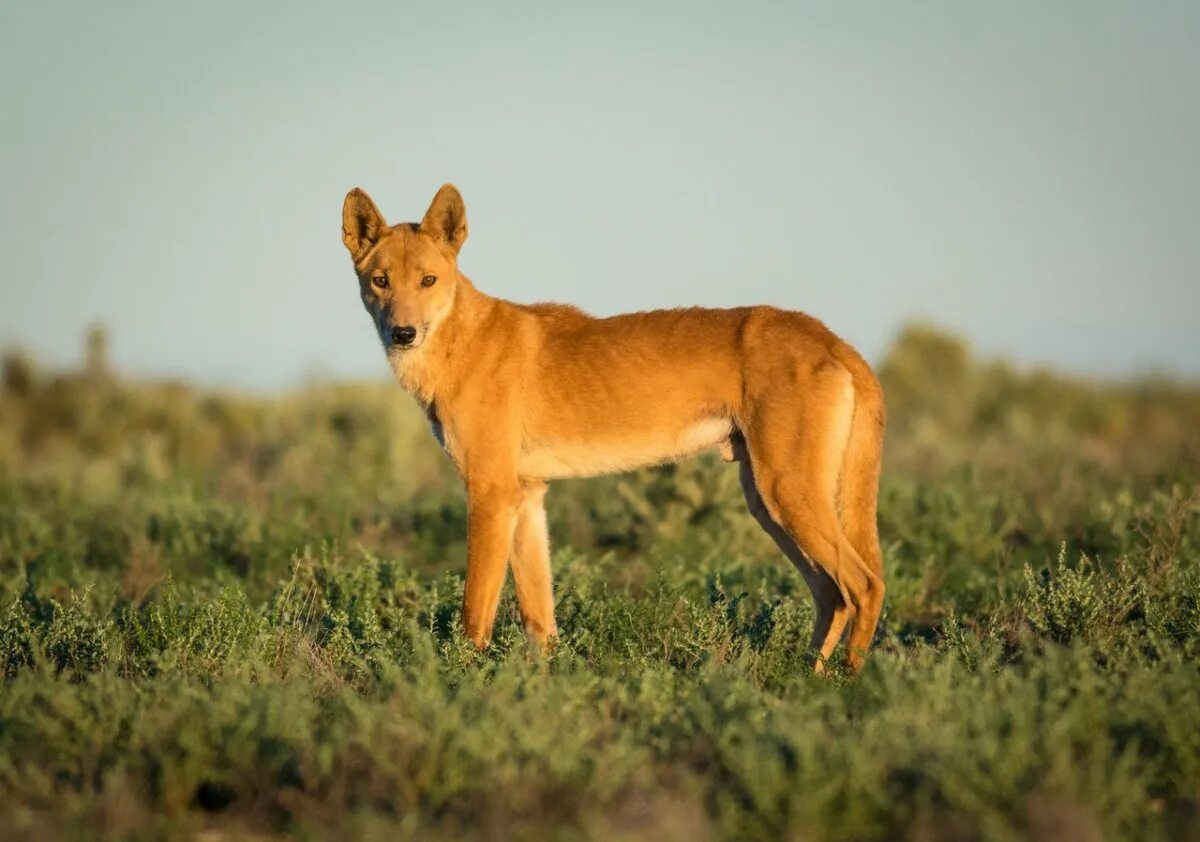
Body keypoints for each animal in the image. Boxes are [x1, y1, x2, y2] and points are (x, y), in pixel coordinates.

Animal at [343, 184, 888, 671]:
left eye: (428, 281)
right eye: (381, 281)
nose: (402, 333)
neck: (459, 342)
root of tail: (831, 338)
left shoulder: (490, 493)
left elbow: (475, 612)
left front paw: (465, 683)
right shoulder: (526, 495)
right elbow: (540, 618)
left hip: (786, 493)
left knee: (863, 584)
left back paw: (848, 684)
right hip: (767, 503)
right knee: (831, 592)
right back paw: (807, 678)